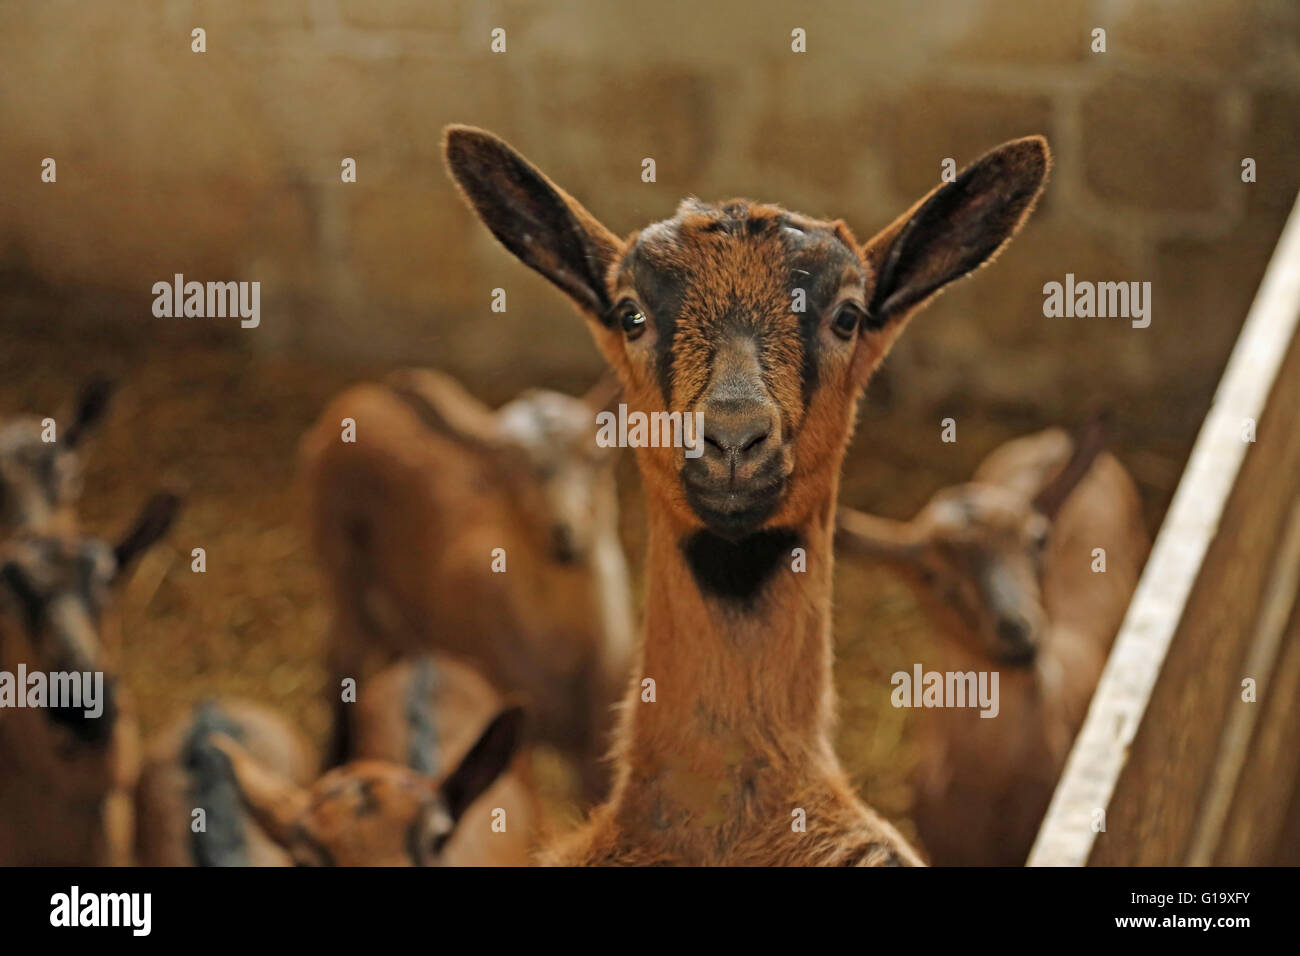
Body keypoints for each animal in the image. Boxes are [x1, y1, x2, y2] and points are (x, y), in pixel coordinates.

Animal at [300, 369, 634, 801]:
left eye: (599, 458)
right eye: (506, 472)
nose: (564, 536)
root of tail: (369, 389)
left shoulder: (598, 748)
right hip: (341, 571)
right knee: (341, 659)